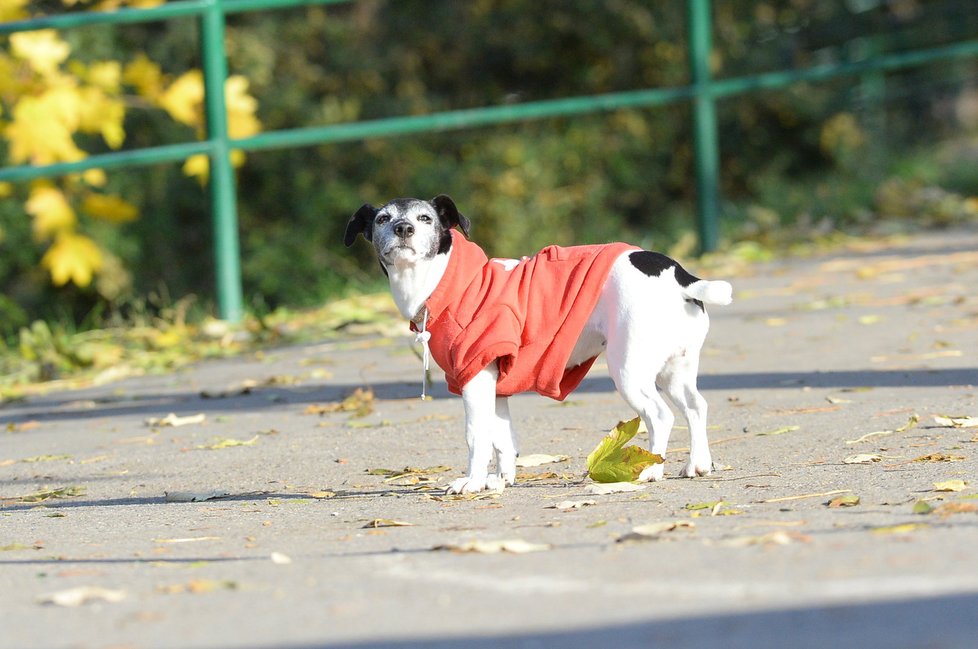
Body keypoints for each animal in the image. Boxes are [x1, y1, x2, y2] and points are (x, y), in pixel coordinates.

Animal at [346, 194, 732, 492]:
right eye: (383, 218)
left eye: (424, 218)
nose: (403, 229)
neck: (446, 282)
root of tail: (679, 276)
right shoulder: (495, 387)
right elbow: (502, 439)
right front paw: (500, 481)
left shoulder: (474, 380)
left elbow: (477, 437)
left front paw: (472, 482)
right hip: (674, 372)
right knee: (696, 407)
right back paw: (698, 464)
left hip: (629, 372)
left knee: (661, 416)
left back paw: (652, 468)